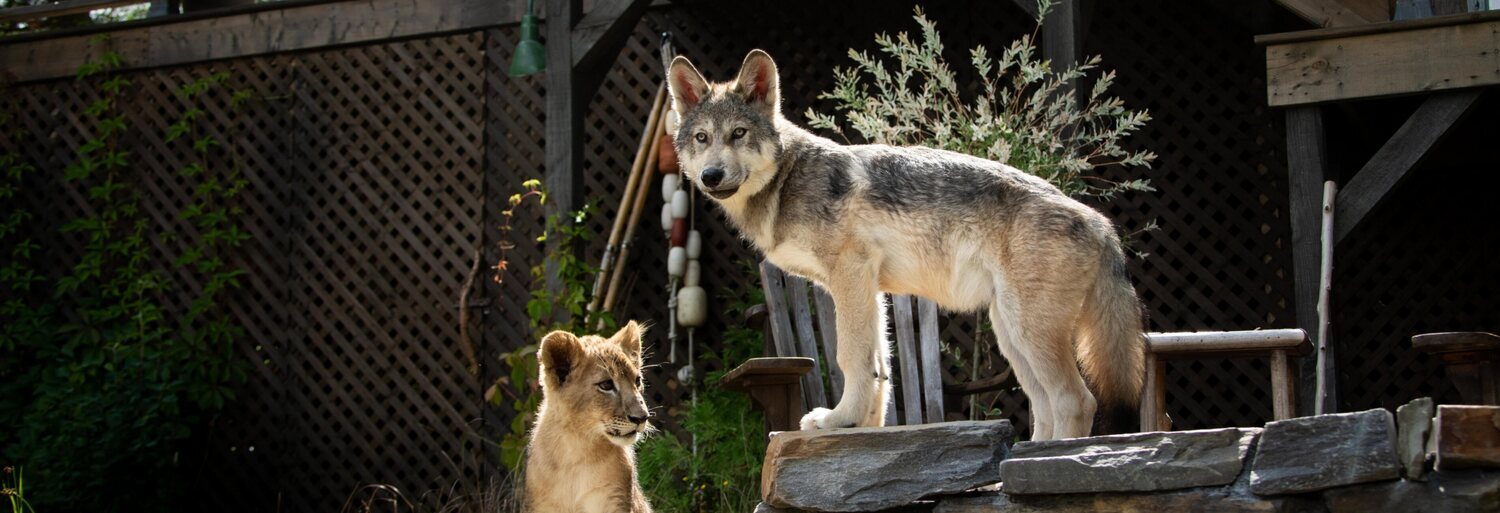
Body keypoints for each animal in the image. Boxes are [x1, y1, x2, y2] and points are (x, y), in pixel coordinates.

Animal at [663, 50, 1140, 438]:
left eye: (738, 133)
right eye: (702, 138)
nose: (710, 176)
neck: (787, 179)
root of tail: (1101, 223)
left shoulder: (850, 275)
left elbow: (851, 357)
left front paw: (837, 421)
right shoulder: (869, 288)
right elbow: (880, 368)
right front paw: (864, 429)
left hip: (1028, 331)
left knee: (1076, 402)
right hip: (1012, 334)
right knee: (1044, 406)